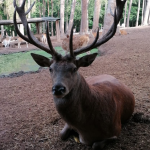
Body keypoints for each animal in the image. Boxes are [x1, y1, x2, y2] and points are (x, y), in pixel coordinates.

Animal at [13, 0, 135, 149]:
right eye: (50, 68)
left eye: (74, 68)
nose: (58, 88)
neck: (86, 129)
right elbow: (61, 135)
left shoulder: (116, 130)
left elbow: (96, 145)